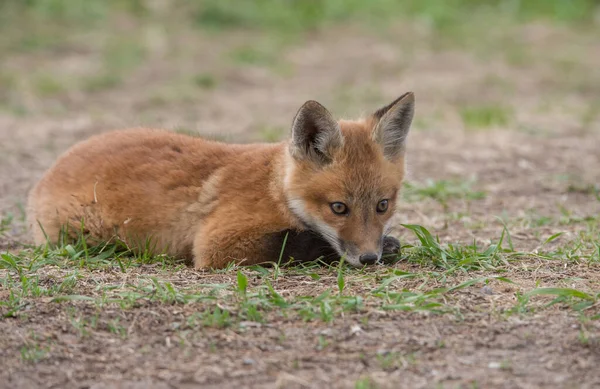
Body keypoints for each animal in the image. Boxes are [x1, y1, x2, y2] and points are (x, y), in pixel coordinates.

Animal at [27, 91, 412, 268]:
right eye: (338, 208)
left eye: (383, 205)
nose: (369, 259)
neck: (276, 192)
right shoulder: (216, 245)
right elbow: (303, 242)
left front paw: (388, 243)